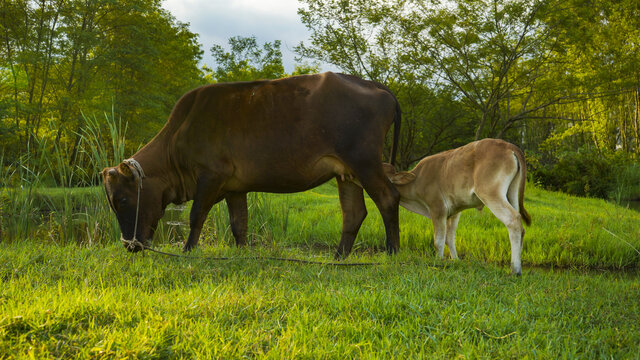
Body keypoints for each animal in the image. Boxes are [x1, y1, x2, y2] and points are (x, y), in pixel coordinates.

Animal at [102, 72, 398, 256]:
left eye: (123, 200)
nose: (129, 245)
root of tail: (372, 84)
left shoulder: (210, 175)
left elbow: (196, 215)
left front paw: (188, 250)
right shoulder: (235, 187)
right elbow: (238, 223)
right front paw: (242, 252)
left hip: (365, 162)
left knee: (388, 198)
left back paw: (392, 252)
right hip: (346, 173)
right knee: (354, 213)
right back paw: (338, 257)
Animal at [384, 139, 528, 274]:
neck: (416, 180)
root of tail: (508, 145)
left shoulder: (438, 209)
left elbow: (439, 241)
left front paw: (438, 262)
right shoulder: (454, 212)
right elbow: (449, 238)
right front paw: (456, 260)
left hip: (491, 194)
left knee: (513, 220)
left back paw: (515, 269)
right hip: (512, 194)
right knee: (520, 227)